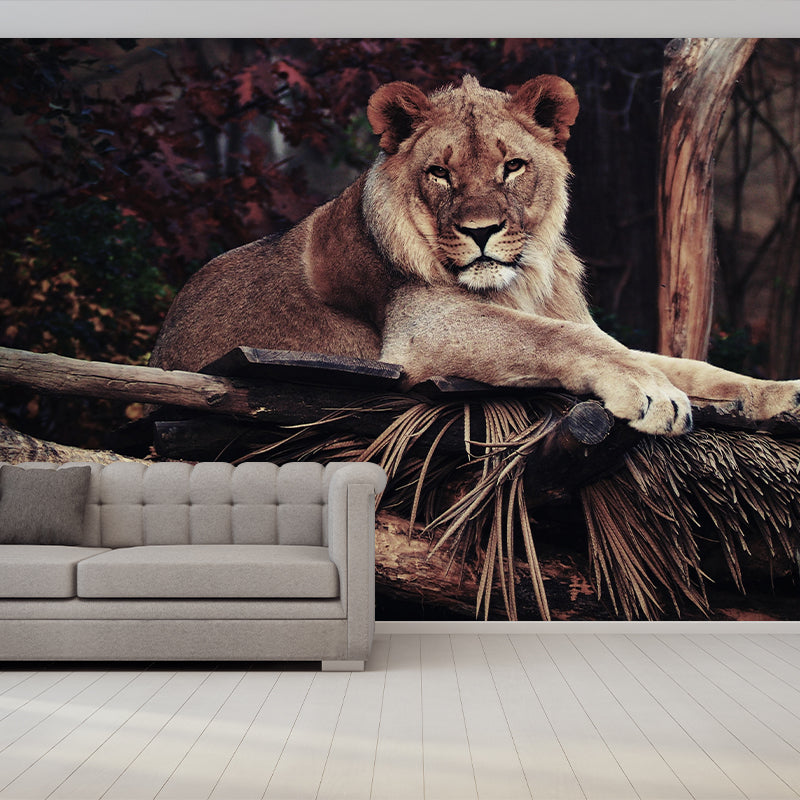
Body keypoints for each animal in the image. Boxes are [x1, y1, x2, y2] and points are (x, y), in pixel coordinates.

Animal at [150, 74, 800, 435]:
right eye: (439, 174)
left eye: (512, 166)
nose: (482, 231)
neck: (523, 281)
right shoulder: (422, 329)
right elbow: (563, 340)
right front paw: (651, 393)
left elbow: (690, 366)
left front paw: (780, 393)